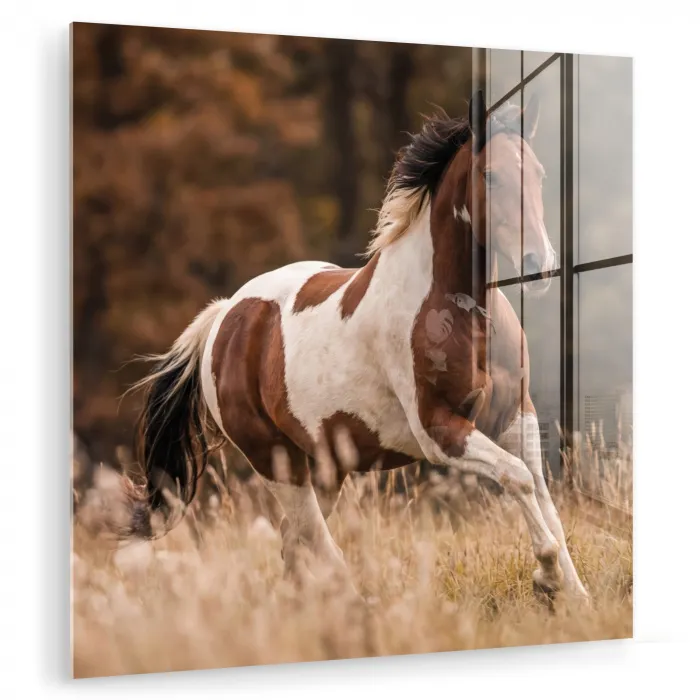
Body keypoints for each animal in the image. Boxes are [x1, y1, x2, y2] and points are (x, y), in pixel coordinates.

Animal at [127, 89, 589, 602]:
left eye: (539, 173)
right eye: (490, 174)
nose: (540, 264)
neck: (459, 312)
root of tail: (224, 316)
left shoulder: (515, 416)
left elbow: (543, 497)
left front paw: (576, 596)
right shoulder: (439, 431)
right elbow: (518, 479)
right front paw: (547, 577)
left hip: (325, 467)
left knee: (295, 544)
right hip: (277, 461)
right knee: (316, 545)